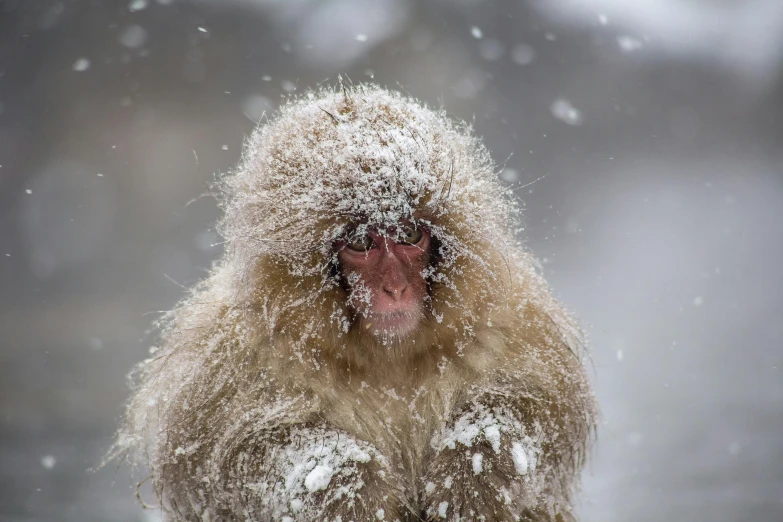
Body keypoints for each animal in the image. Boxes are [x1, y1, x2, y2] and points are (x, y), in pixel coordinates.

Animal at [110, 83, 596, 516]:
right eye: (362, 243)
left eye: (408, 235)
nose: (395, 288)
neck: (388, 357)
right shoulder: (232, 349)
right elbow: (221, 458)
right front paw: (343, 478)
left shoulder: (502, 313)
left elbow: (538, 402)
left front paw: (474, 459)